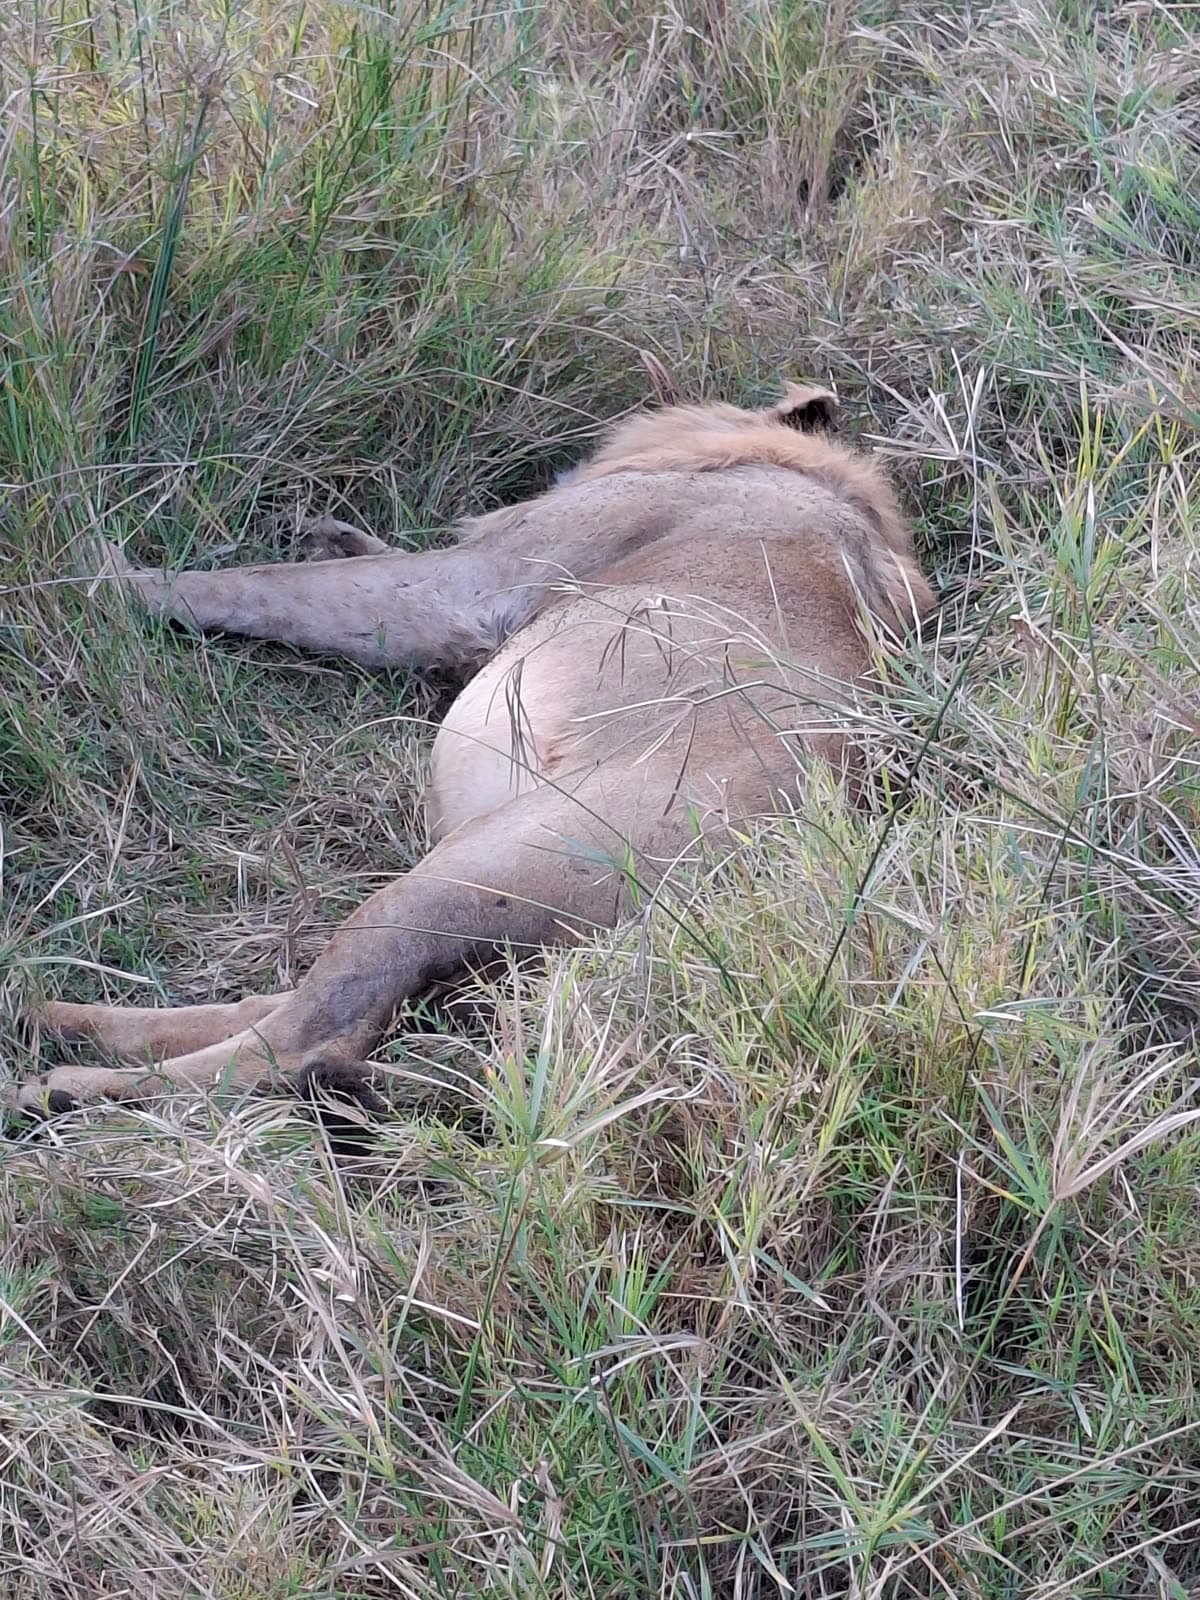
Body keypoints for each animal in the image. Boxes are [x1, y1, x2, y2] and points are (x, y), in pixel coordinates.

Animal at [10, 384, 934, 1128]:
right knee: (307, 1007)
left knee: (307, 1040)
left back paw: (66, 1089)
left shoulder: (473, 584)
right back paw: (55, 1014)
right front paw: (332, 532)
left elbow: (261, 587)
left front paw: (88, 568)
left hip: (483, 863)